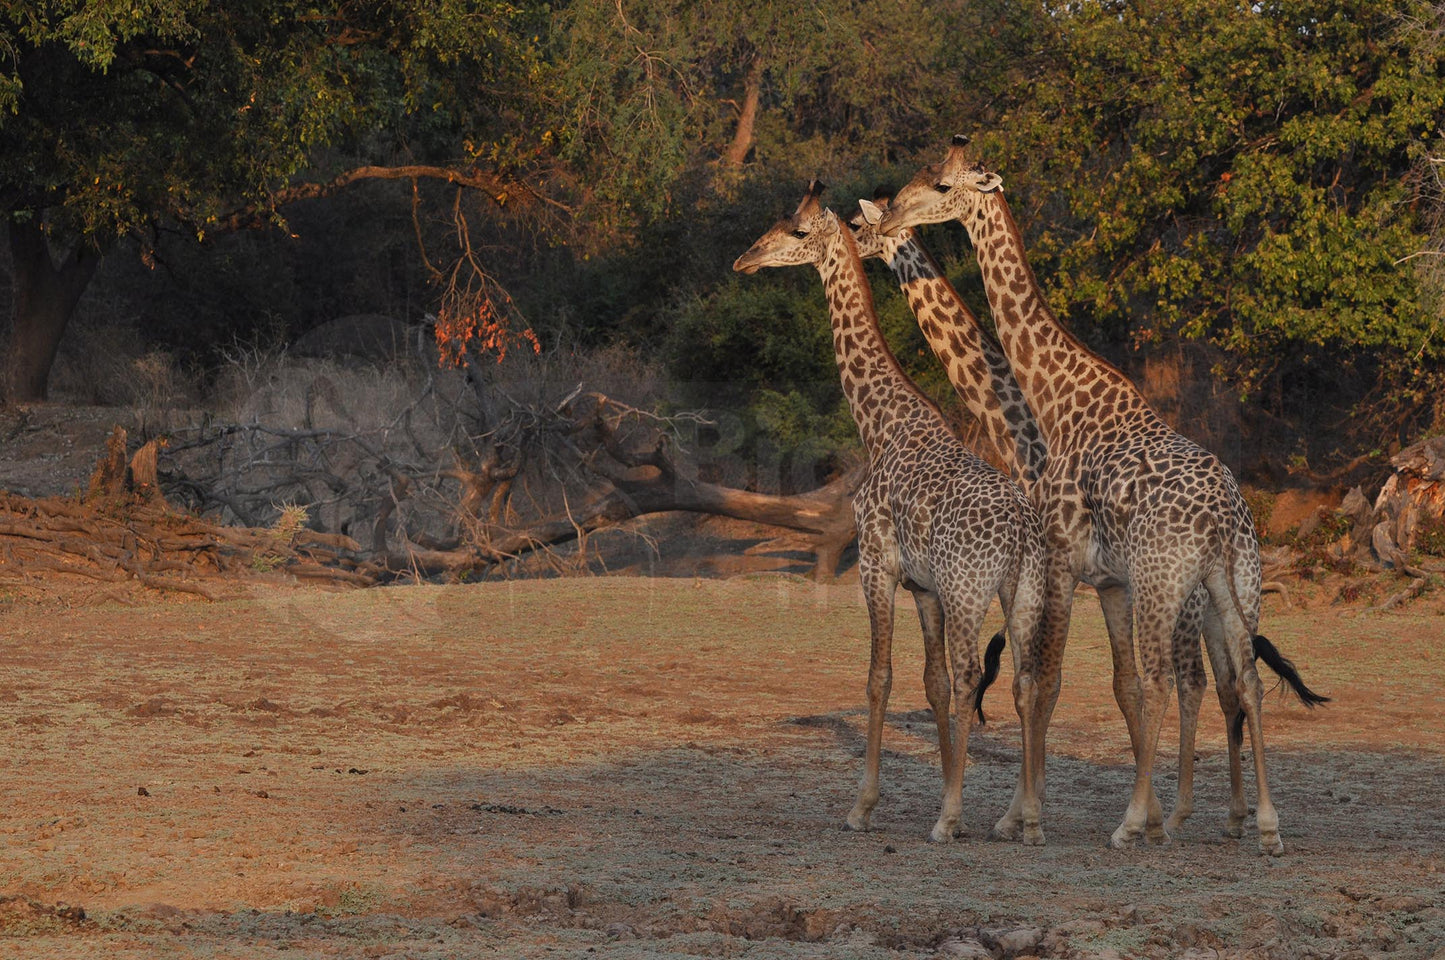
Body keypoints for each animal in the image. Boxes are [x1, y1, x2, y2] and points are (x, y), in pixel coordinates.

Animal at [734, 180, 1051, 838]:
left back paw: (952, 821)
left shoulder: (877, 564)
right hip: (1023, 592)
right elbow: (930, 684)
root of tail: (1018, 535)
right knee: (1024, 679)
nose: (744, 259)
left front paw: (865, 805)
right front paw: (943, 785)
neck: (879, 422)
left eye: (796, 230)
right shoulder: (923, 586)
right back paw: (1027, 820)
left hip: (969, 590)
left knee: (972, 676)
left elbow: (879, 677)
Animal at [872, 136, 1323, 855]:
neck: (1057, 401)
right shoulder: (1106, 580)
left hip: (1167, 584)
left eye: (941, 184)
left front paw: (1025, 817)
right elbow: (1107, 682)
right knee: (1244, 680)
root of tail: (1226, 516)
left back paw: (1137, 823)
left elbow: (1047, 678)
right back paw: (1261, 825)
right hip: (1234, 585)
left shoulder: (1059, 558)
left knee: (1175, 680)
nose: (888, 214)